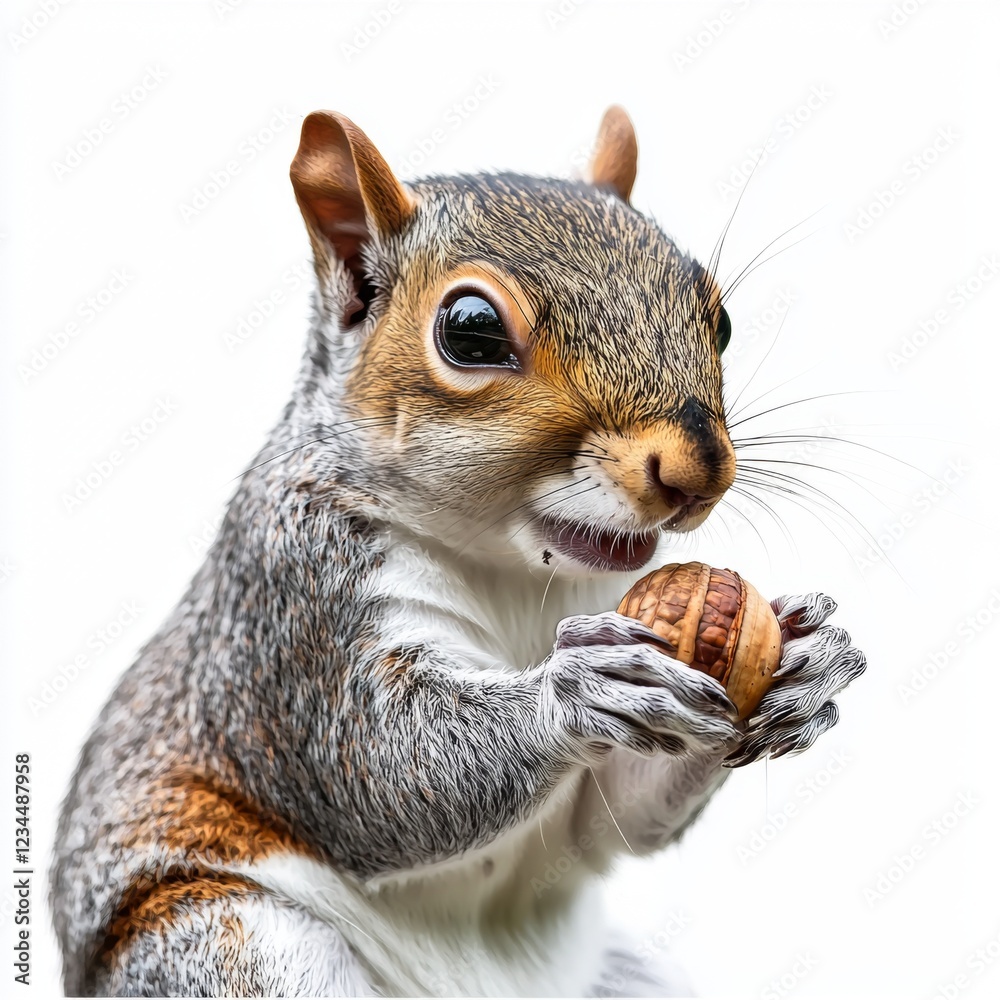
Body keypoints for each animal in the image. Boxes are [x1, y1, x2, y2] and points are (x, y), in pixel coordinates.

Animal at [50, 106, 867, 997]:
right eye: (470, 332)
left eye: (718, 318)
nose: (697, 471)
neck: (521, 576)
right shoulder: (295, 613)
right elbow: (381, 773)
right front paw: (576, 690)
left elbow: (612, 818)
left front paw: (812, 659)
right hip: (226, 942)